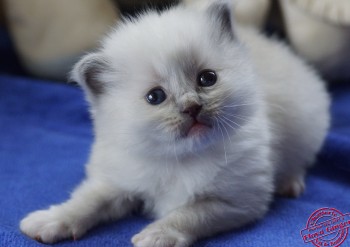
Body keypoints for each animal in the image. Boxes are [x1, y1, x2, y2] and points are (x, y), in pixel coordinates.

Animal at [20, 0, 330, 246]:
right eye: (155, 97)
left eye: (207, 78)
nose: (192, 107)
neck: (180, 158)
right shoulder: (118, 181)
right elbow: (87, 201)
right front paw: (50, 221)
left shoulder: (236, 201)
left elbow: (188, 214)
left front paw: (157, 235)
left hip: (308, 124)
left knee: (301, 158)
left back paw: (289, 182)